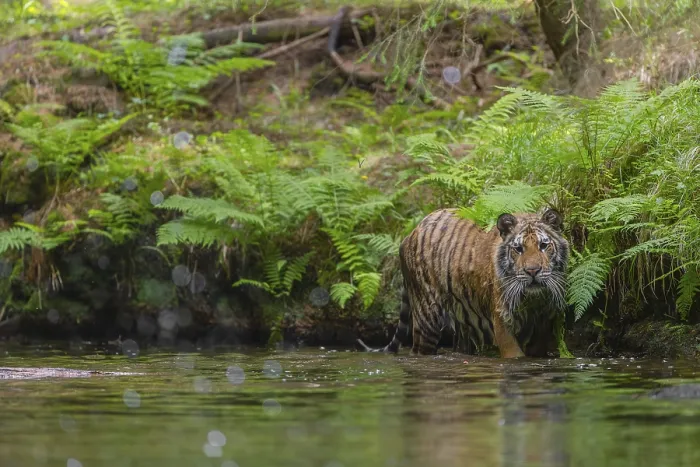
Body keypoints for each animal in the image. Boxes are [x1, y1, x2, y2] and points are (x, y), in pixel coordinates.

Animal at [358, 208, 570, 358]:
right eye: (518, 248)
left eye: (543, 245)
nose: (532, 271)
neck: (533, 301)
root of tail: (410, 234)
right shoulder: (502, 319)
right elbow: (514, 354)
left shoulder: (543, 324)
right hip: (427, 317)